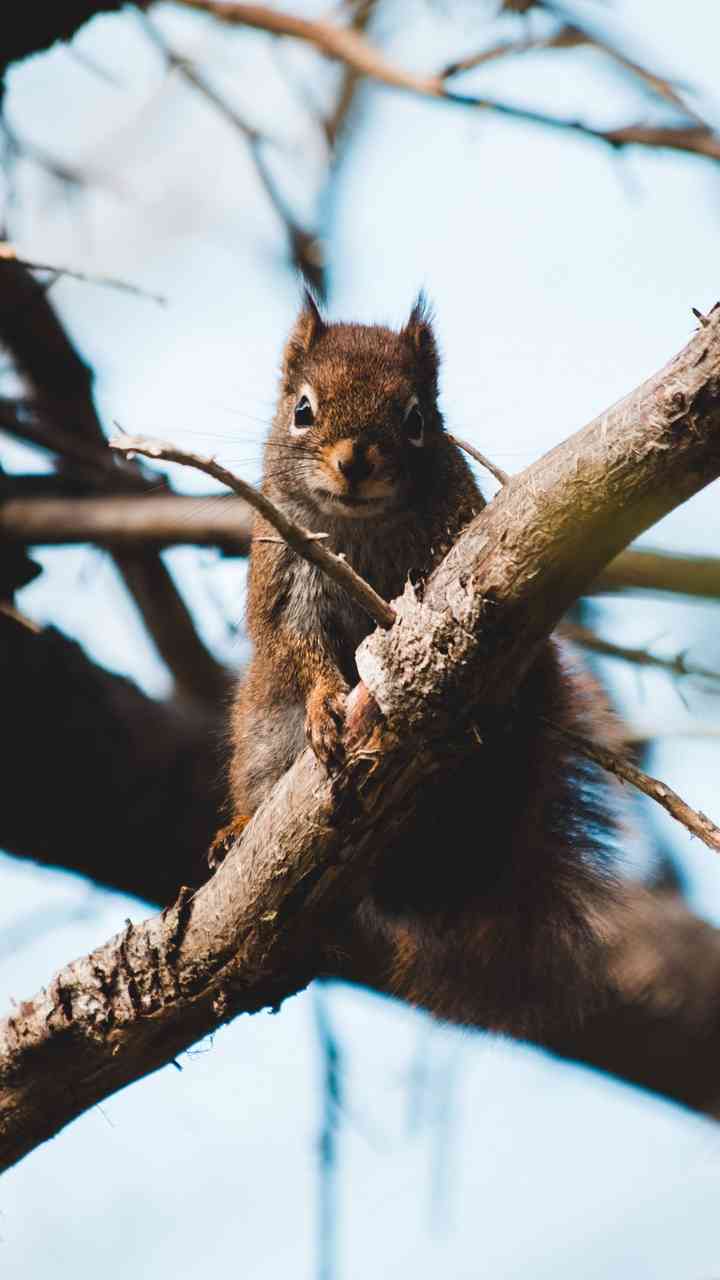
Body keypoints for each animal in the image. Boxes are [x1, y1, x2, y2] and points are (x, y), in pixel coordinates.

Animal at [225, 290, 617, 1039]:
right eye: (302, 409)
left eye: (415, 421)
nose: (354, 462)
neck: (362, 524)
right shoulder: (286, 574)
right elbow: (296, 644)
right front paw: (325, 704)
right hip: (261, 731)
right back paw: (232, 833)